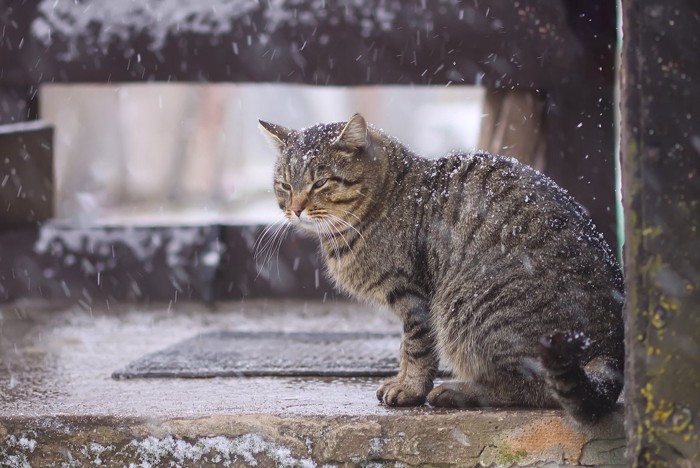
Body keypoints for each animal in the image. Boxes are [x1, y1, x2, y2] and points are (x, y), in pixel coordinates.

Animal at [258, 113, 624, 424]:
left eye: (320, 183)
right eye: (285, 185)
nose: (295, 209)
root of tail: (612, 351)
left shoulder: (413, 296)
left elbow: (417, 348)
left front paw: (409, 389)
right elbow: (405, 349)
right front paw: (400, 380)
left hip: (469, 309)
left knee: (533, 388)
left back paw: (456, 391)